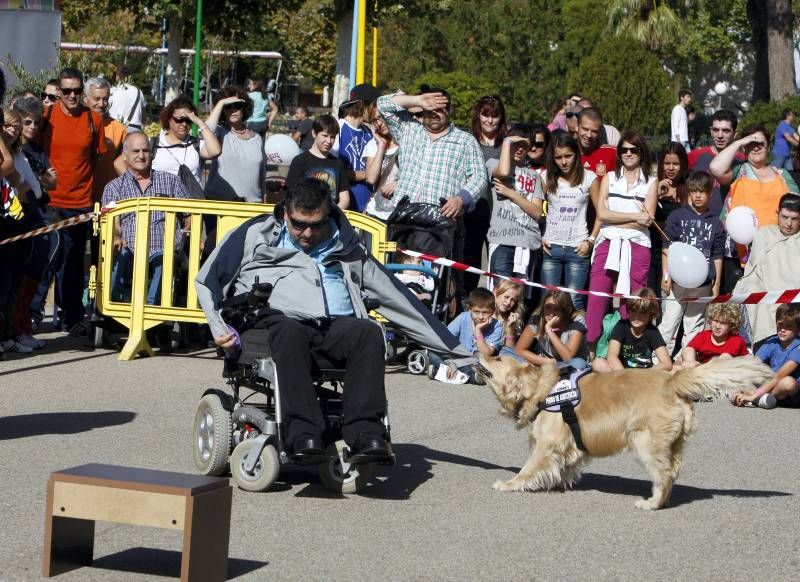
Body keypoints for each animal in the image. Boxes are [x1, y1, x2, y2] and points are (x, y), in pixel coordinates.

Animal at [478, 356, 772, 512]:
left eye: (498, 358)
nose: (483, 352)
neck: (542, 390)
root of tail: (671, 380)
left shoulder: (547, 444)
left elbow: (528, 469)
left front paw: (509, 484)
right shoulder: (572, 445)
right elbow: (563, 467)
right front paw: (557, 482)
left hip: (643, 441)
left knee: (664, 473)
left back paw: (652, 503)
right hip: (672, 443)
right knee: (674, 471)